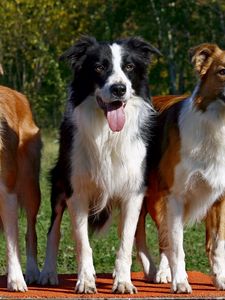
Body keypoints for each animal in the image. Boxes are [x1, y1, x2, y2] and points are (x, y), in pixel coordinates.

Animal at [39, 36, 159, 294]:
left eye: (129, 67)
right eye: (99, 67)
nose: (119, 89)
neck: (107, 133)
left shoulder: (133, 192)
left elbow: (126, 240)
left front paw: (123, 281)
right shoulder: (77, 192)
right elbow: (82, 242)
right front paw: (85, 280)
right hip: (59, 183)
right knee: (53, 230)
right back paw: (47, 272)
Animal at [136, 43, 225, 294]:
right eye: (222, 71)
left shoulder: (219, 198)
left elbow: (217, 245)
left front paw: (220, 279)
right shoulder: (175, 195)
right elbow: (176, 245)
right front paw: (181, 281)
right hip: (152, 197)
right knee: (152, 236)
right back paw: (157, 271)